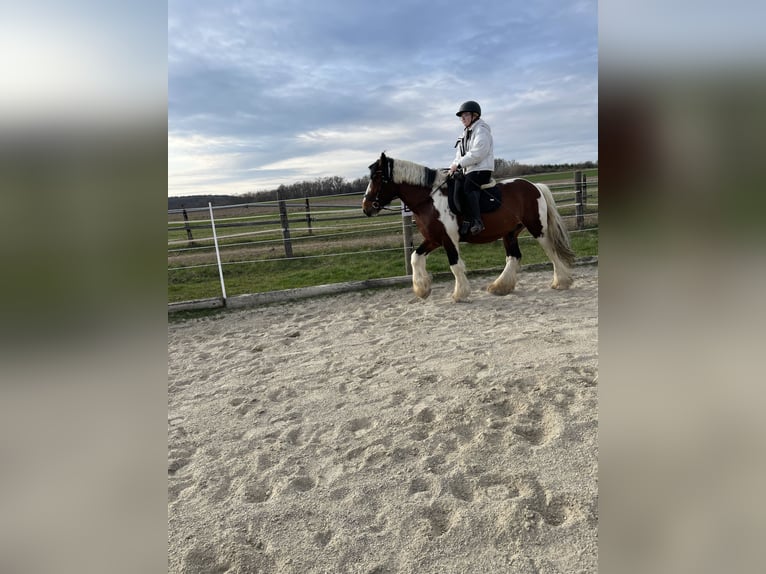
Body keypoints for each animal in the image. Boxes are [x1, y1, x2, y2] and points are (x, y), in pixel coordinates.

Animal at [362, 153, 576, 306]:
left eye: (377, 177)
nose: (366, 207)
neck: (430, 199)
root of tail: (534, 186)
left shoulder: (448, 239)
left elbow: (455, 265)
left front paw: (460, 294)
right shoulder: (433, 239)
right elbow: (416, 257)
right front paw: (422, 289)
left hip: (537, 228)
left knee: (551, 251)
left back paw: (561, 282)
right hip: (509, 233)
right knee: (514, 257)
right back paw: (500, 287)